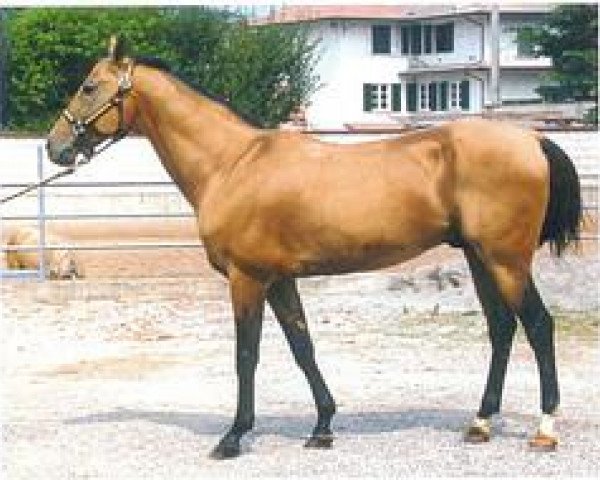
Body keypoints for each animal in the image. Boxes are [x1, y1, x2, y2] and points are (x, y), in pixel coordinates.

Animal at [45, 36, 580, 458]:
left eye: (89, 86)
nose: (55, 147)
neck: (231, 163)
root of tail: (532, 140)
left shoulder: (247, 279)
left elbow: (246, 354)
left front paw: (233, 437)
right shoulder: (281, 279)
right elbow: (303, 347)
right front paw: (323, 426)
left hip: (506, 260)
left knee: (539, 327)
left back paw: (545, 430)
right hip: (479, 258)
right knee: (502, 330)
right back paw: (480, 423)